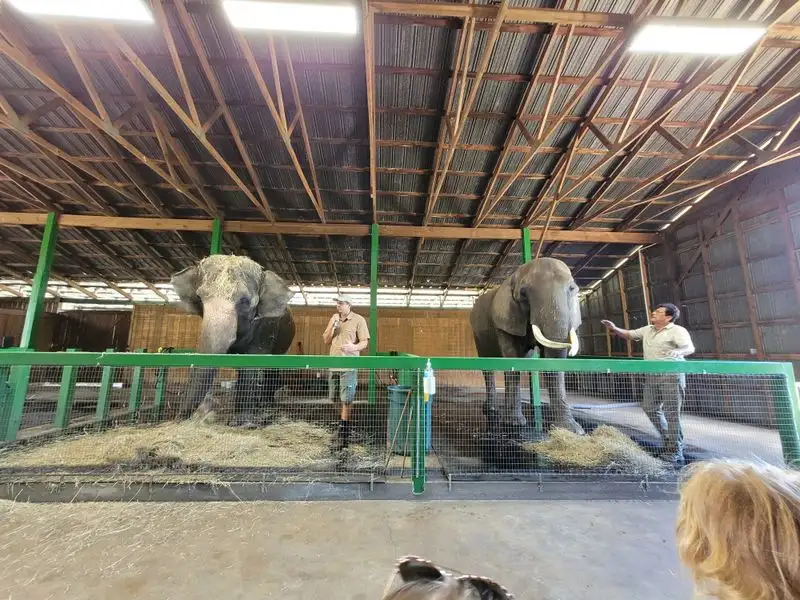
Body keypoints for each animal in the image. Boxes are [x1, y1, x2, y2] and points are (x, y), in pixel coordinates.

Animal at [170, 254, 296, 425]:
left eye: (245, 301)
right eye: (199, 298)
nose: (180, 418)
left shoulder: (266, 326)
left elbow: (252, 363)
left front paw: (242, 422)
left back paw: (266, 408)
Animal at [469, 257, 585, 435]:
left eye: (572, 289)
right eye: (523, 294)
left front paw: (571, 431)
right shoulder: (505, 320)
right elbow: (512, 359)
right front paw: (514, 423)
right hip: (478, 333)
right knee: (487, 367)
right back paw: (491, 410)